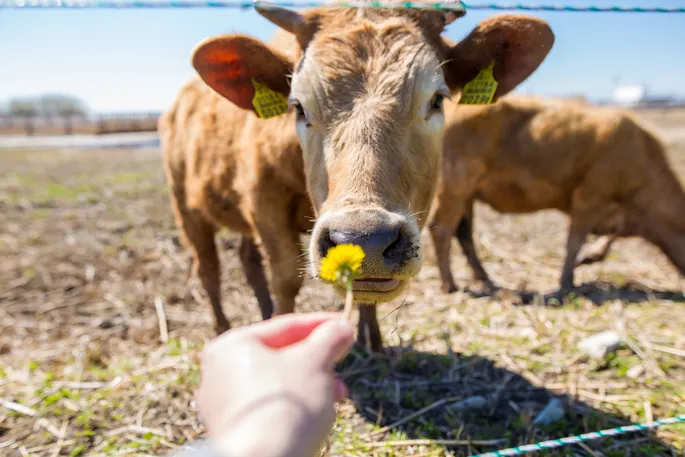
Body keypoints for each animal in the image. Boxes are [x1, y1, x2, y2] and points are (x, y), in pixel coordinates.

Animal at [158, 4, 552, 350]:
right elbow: (284, 277)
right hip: (185, 207)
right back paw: (224, 326)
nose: (365, 239)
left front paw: (372, 341)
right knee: (208, 268)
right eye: (298, 106)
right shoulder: (264, 202)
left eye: (437, 100)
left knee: (246, 258)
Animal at [428, 95, 684, 294]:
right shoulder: (589, 197)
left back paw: (487, 281)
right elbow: (574, 241)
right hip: (453, 184)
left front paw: (589, 258)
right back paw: (449, 285)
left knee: (464, 233)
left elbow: (607, 238)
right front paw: (568, 281)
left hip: (467, 194)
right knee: (441, 228)